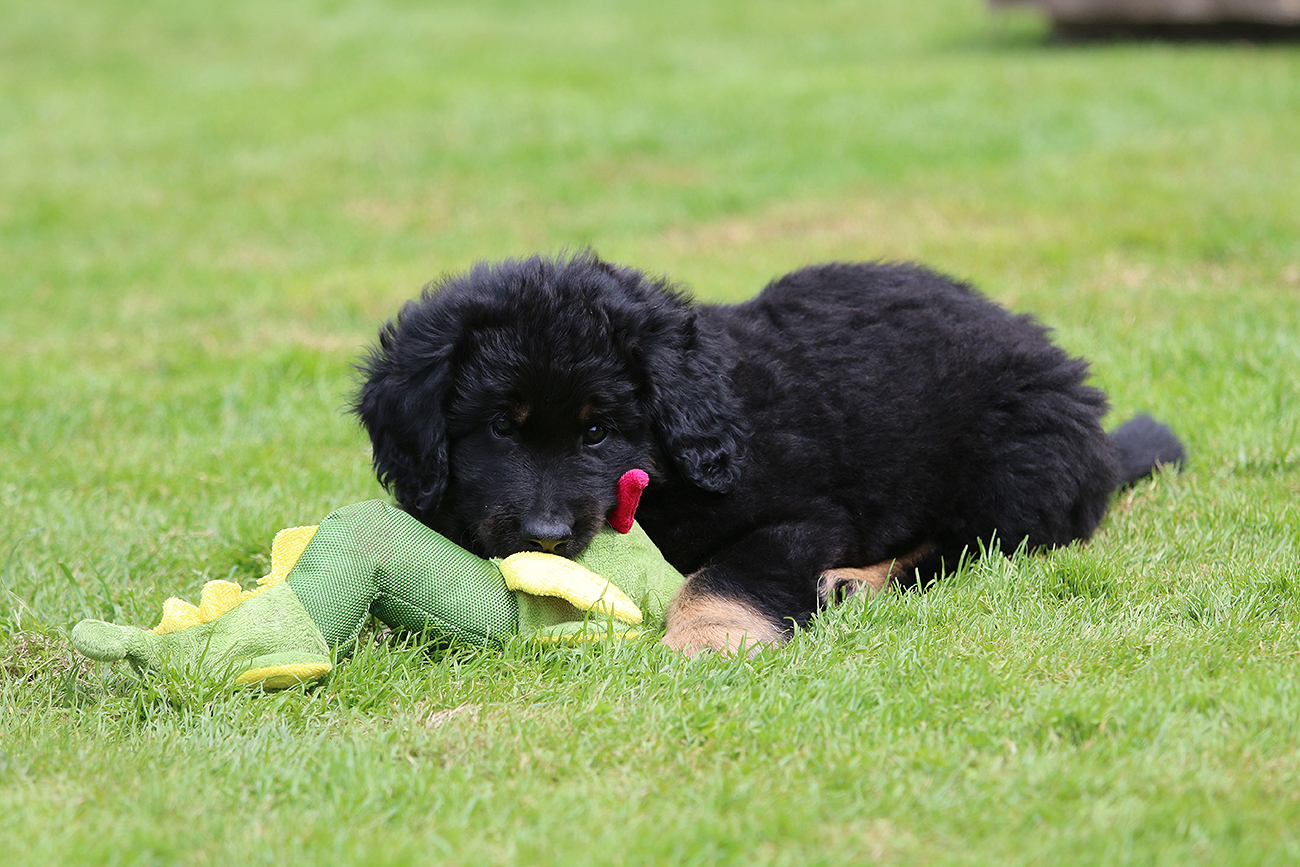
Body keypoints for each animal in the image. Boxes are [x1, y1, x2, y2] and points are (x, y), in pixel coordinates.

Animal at [354, 252, 1184, 655]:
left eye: (597, 432)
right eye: (499, 426)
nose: (546, 537)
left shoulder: (800, 515)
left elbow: (725, 575)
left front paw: (705, 639)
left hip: (1010, 473)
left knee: (962, 548)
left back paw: (851, 582)